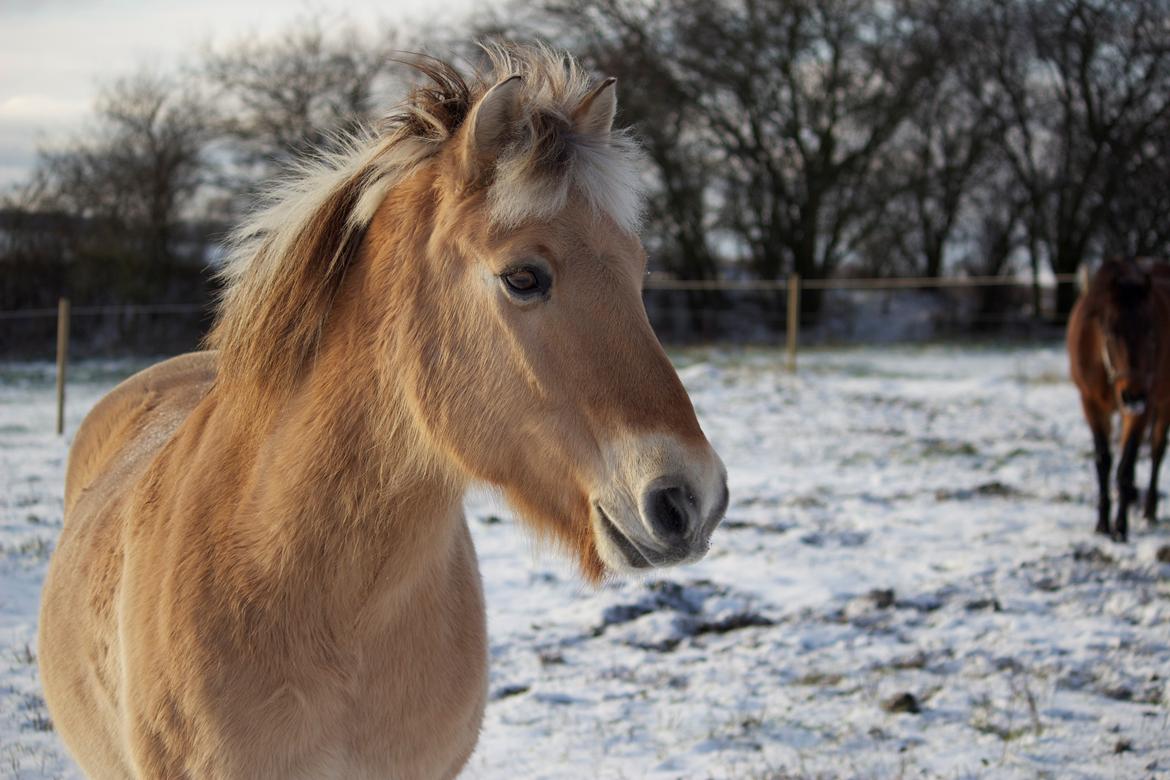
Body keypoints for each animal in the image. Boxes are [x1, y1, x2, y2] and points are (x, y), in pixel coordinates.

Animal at [1071, 259, 1170, 540]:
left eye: (1151, 331)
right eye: (1111, 332)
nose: (1133, 395)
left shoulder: (1141, 409)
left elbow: (1126, 465)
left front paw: (1120, 527)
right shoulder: (1090, 404)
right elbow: (1104, 461)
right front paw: (1102, 524)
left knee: (1157, 450)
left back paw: (1148, 510)